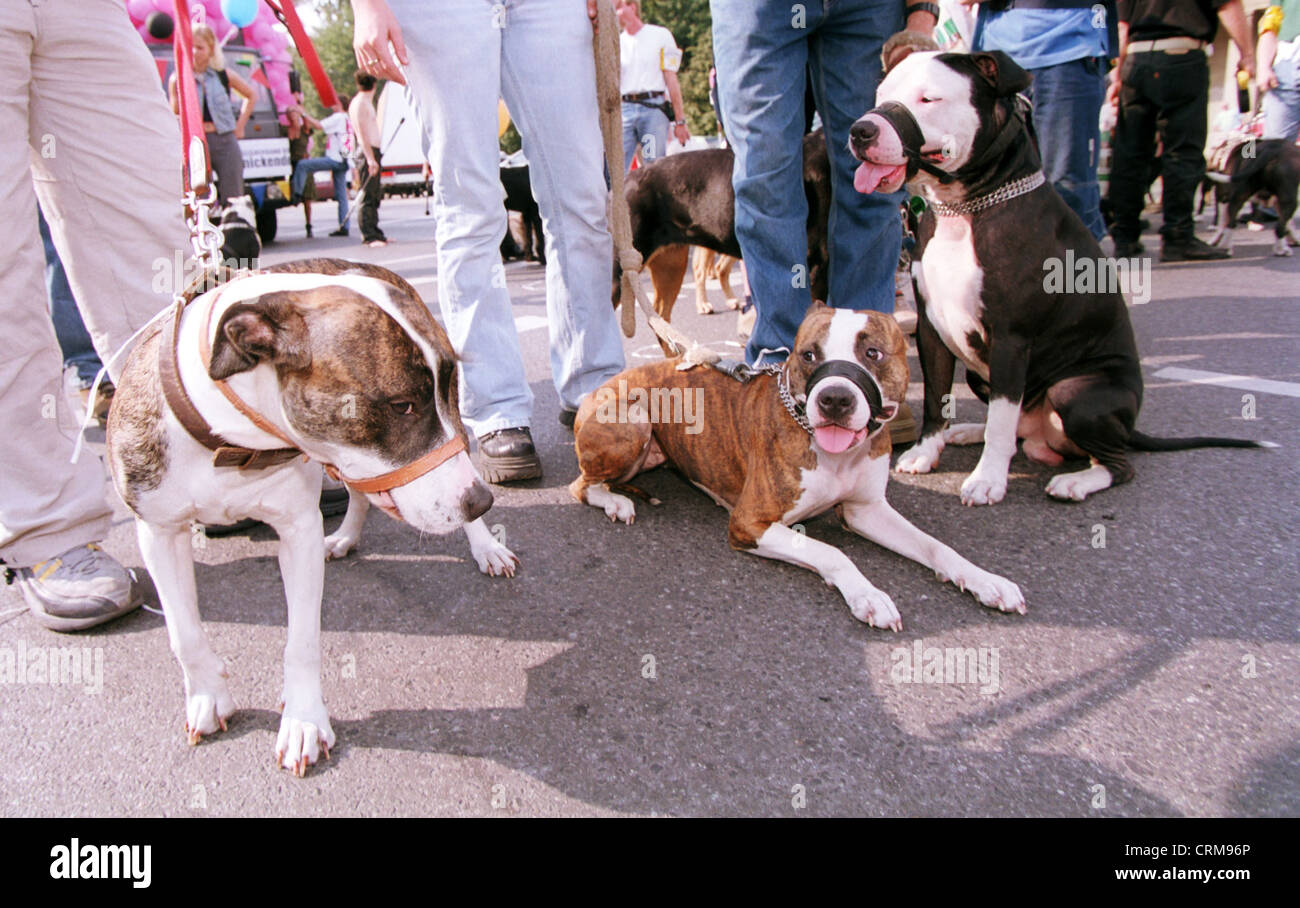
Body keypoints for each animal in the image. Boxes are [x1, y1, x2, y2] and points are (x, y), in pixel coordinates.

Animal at [109, 254, 517, 770]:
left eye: (431, 394)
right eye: (403, 405)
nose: (480, 500)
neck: (234, 441)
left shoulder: (297, 531)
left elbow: (301, 641)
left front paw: (303, 720)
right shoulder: (158, 532)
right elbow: (184, 633)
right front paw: (207, 697)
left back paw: (485, 545)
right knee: (362, 493)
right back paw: (346, 536)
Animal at [569, 300, 1024, 627]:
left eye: (873, 352)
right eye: (808, 355)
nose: (836, 398)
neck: (835, 456)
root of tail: (594, 392)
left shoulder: (866, 511)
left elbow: (936, 546)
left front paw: (986, 580)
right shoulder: (750, 523)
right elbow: (832, 552)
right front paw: (868, 595)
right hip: (633, 420)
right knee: (582, 485)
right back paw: (615, 502)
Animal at [847, 51, 1263, 502]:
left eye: (928, 98)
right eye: (882, 95)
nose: (861, 130)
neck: (966, 208)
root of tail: (1129, 427)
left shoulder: (1011, 339)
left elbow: (1001, 421)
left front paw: (988, 479)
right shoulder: (931, 330)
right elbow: (938, 397)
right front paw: (926, 452)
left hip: (1075, 391)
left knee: (1114, 463)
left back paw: (1076, 480)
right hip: (981, 374)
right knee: (1017, 427)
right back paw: (971, 431)